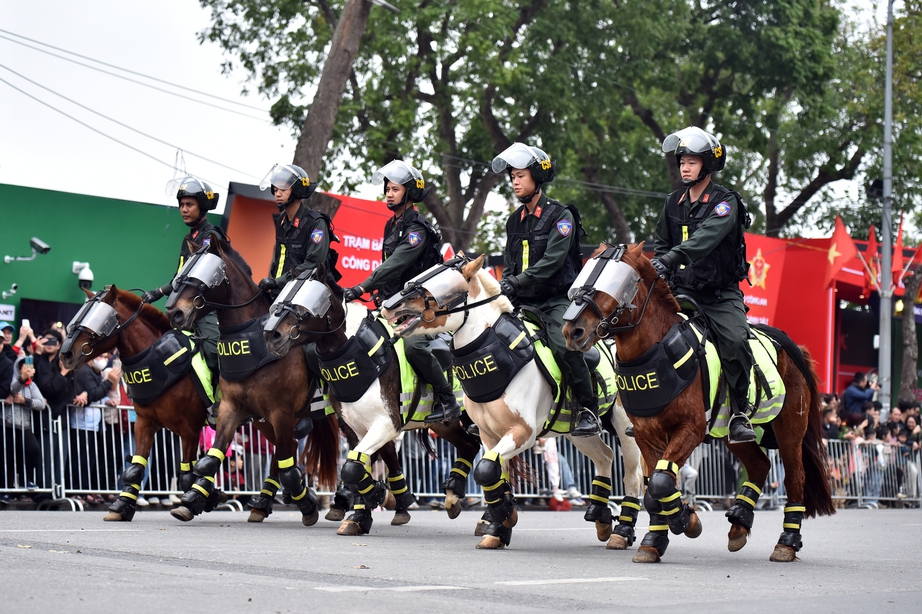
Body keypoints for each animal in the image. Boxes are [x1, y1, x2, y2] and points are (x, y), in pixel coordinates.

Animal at [58, 286, 223, 524]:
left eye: (98, 318)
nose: (65, 354)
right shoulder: (144, 423)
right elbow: (135, 468)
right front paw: (121, 506)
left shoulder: (189, 430)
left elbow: (186, 475)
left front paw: (199, 500)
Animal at [164, 238, 340, 528]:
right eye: (179, 278)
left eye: (199, 279)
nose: (175, 313)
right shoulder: (232, 409)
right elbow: (212, 458)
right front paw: (193, 500)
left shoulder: (281, 413)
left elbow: (287, 467)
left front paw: (307, 505)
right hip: (264, 423)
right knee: (284, 455)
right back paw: (265, 502)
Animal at [260, 268, 482, 536]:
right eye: (280, 299)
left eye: (302, 303)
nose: (271, 335)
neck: (357, 353)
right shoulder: (356, 429)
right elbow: (356, 468)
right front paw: (362, 512)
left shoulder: (386, 424)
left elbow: (351, 468)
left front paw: (376, 497)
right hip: (443, 425)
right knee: (469, 446)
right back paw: (451, 496)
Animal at [378, 256, 644, 552]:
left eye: (432, 288)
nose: (387, 306)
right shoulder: (489, 435)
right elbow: (494, 473)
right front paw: (499, 525)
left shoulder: (523, 432)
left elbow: (485, 470)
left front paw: (503, 516)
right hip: (576, 433)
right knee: (605, 457)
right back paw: (600, 517)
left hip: (626, 430)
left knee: (632, 473)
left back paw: (622, 531)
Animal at [552, 244, 832, 564]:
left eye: (611, 284)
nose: (572, 332)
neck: (653, 351)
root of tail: (787, 343)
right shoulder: (647, 435)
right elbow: (654, 489)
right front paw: (656, 539)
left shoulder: (690, 429)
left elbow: (660, 483)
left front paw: (685, 521)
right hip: (730, 435)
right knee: (760, 465)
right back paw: (739, 522)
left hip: (789, 429)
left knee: (795, 478)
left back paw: (786, 542)